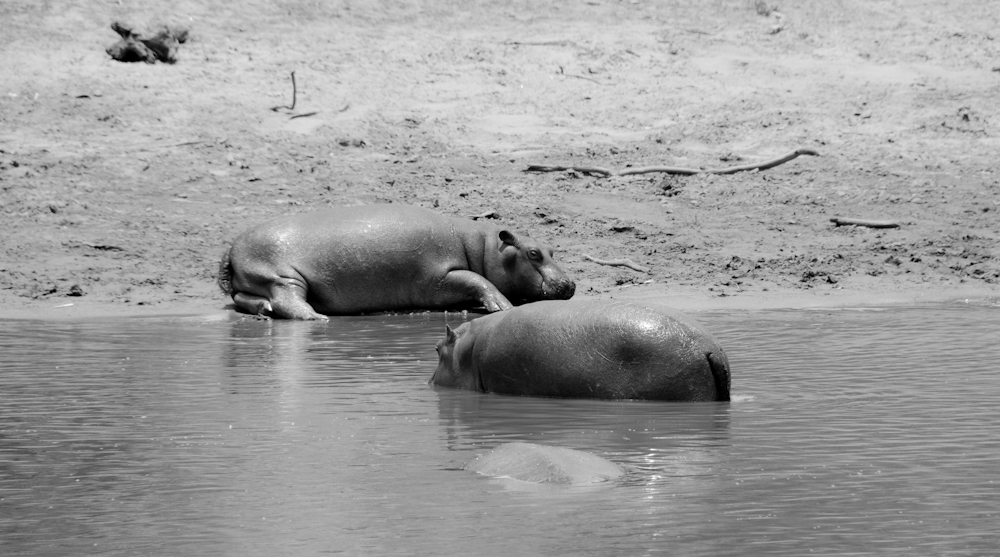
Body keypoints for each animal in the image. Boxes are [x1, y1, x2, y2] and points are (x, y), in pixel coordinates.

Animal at [219, 204, 580, 320]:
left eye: (551, 248)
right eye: (532, 253)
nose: (571, 283)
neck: (484, 247)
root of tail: (231, 250)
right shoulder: (440, 277)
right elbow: (479, 280)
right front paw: (503, 307)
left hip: (257, 280)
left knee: (247, 298)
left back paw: (264, 311)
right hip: (282, 275)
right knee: (288, 300)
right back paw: (316, 318)